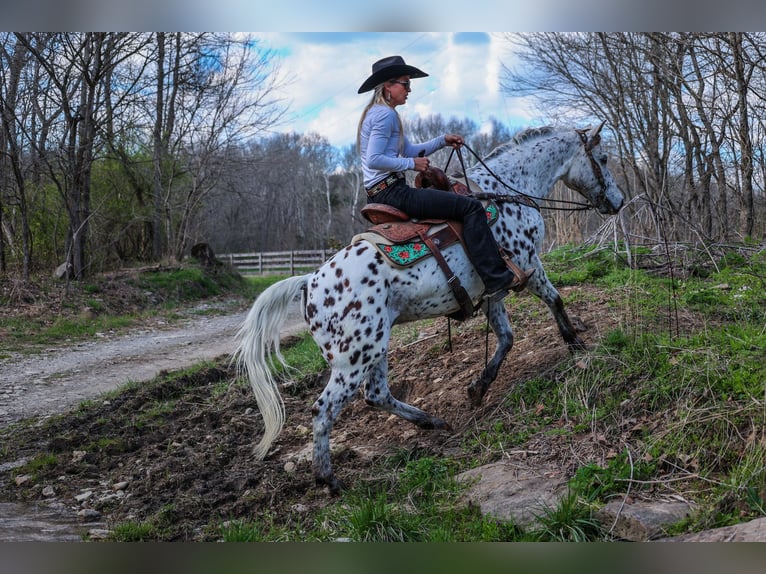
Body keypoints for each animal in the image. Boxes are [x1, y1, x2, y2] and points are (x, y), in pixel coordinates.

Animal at [234, 122, 624, 496]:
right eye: (603, 158)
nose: (617, 201)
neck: (505, 191)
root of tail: (309, 282)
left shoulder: (492, 290)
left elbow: (506, 338)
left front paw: (479, 387)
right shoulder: (528, 264)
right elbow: (554, 300)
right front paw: (575, 344)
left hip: (376, 347)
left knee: (377, 395)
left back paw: (432, 422)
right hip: (355, 357)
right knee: (325, 408)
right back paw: (329, 479)